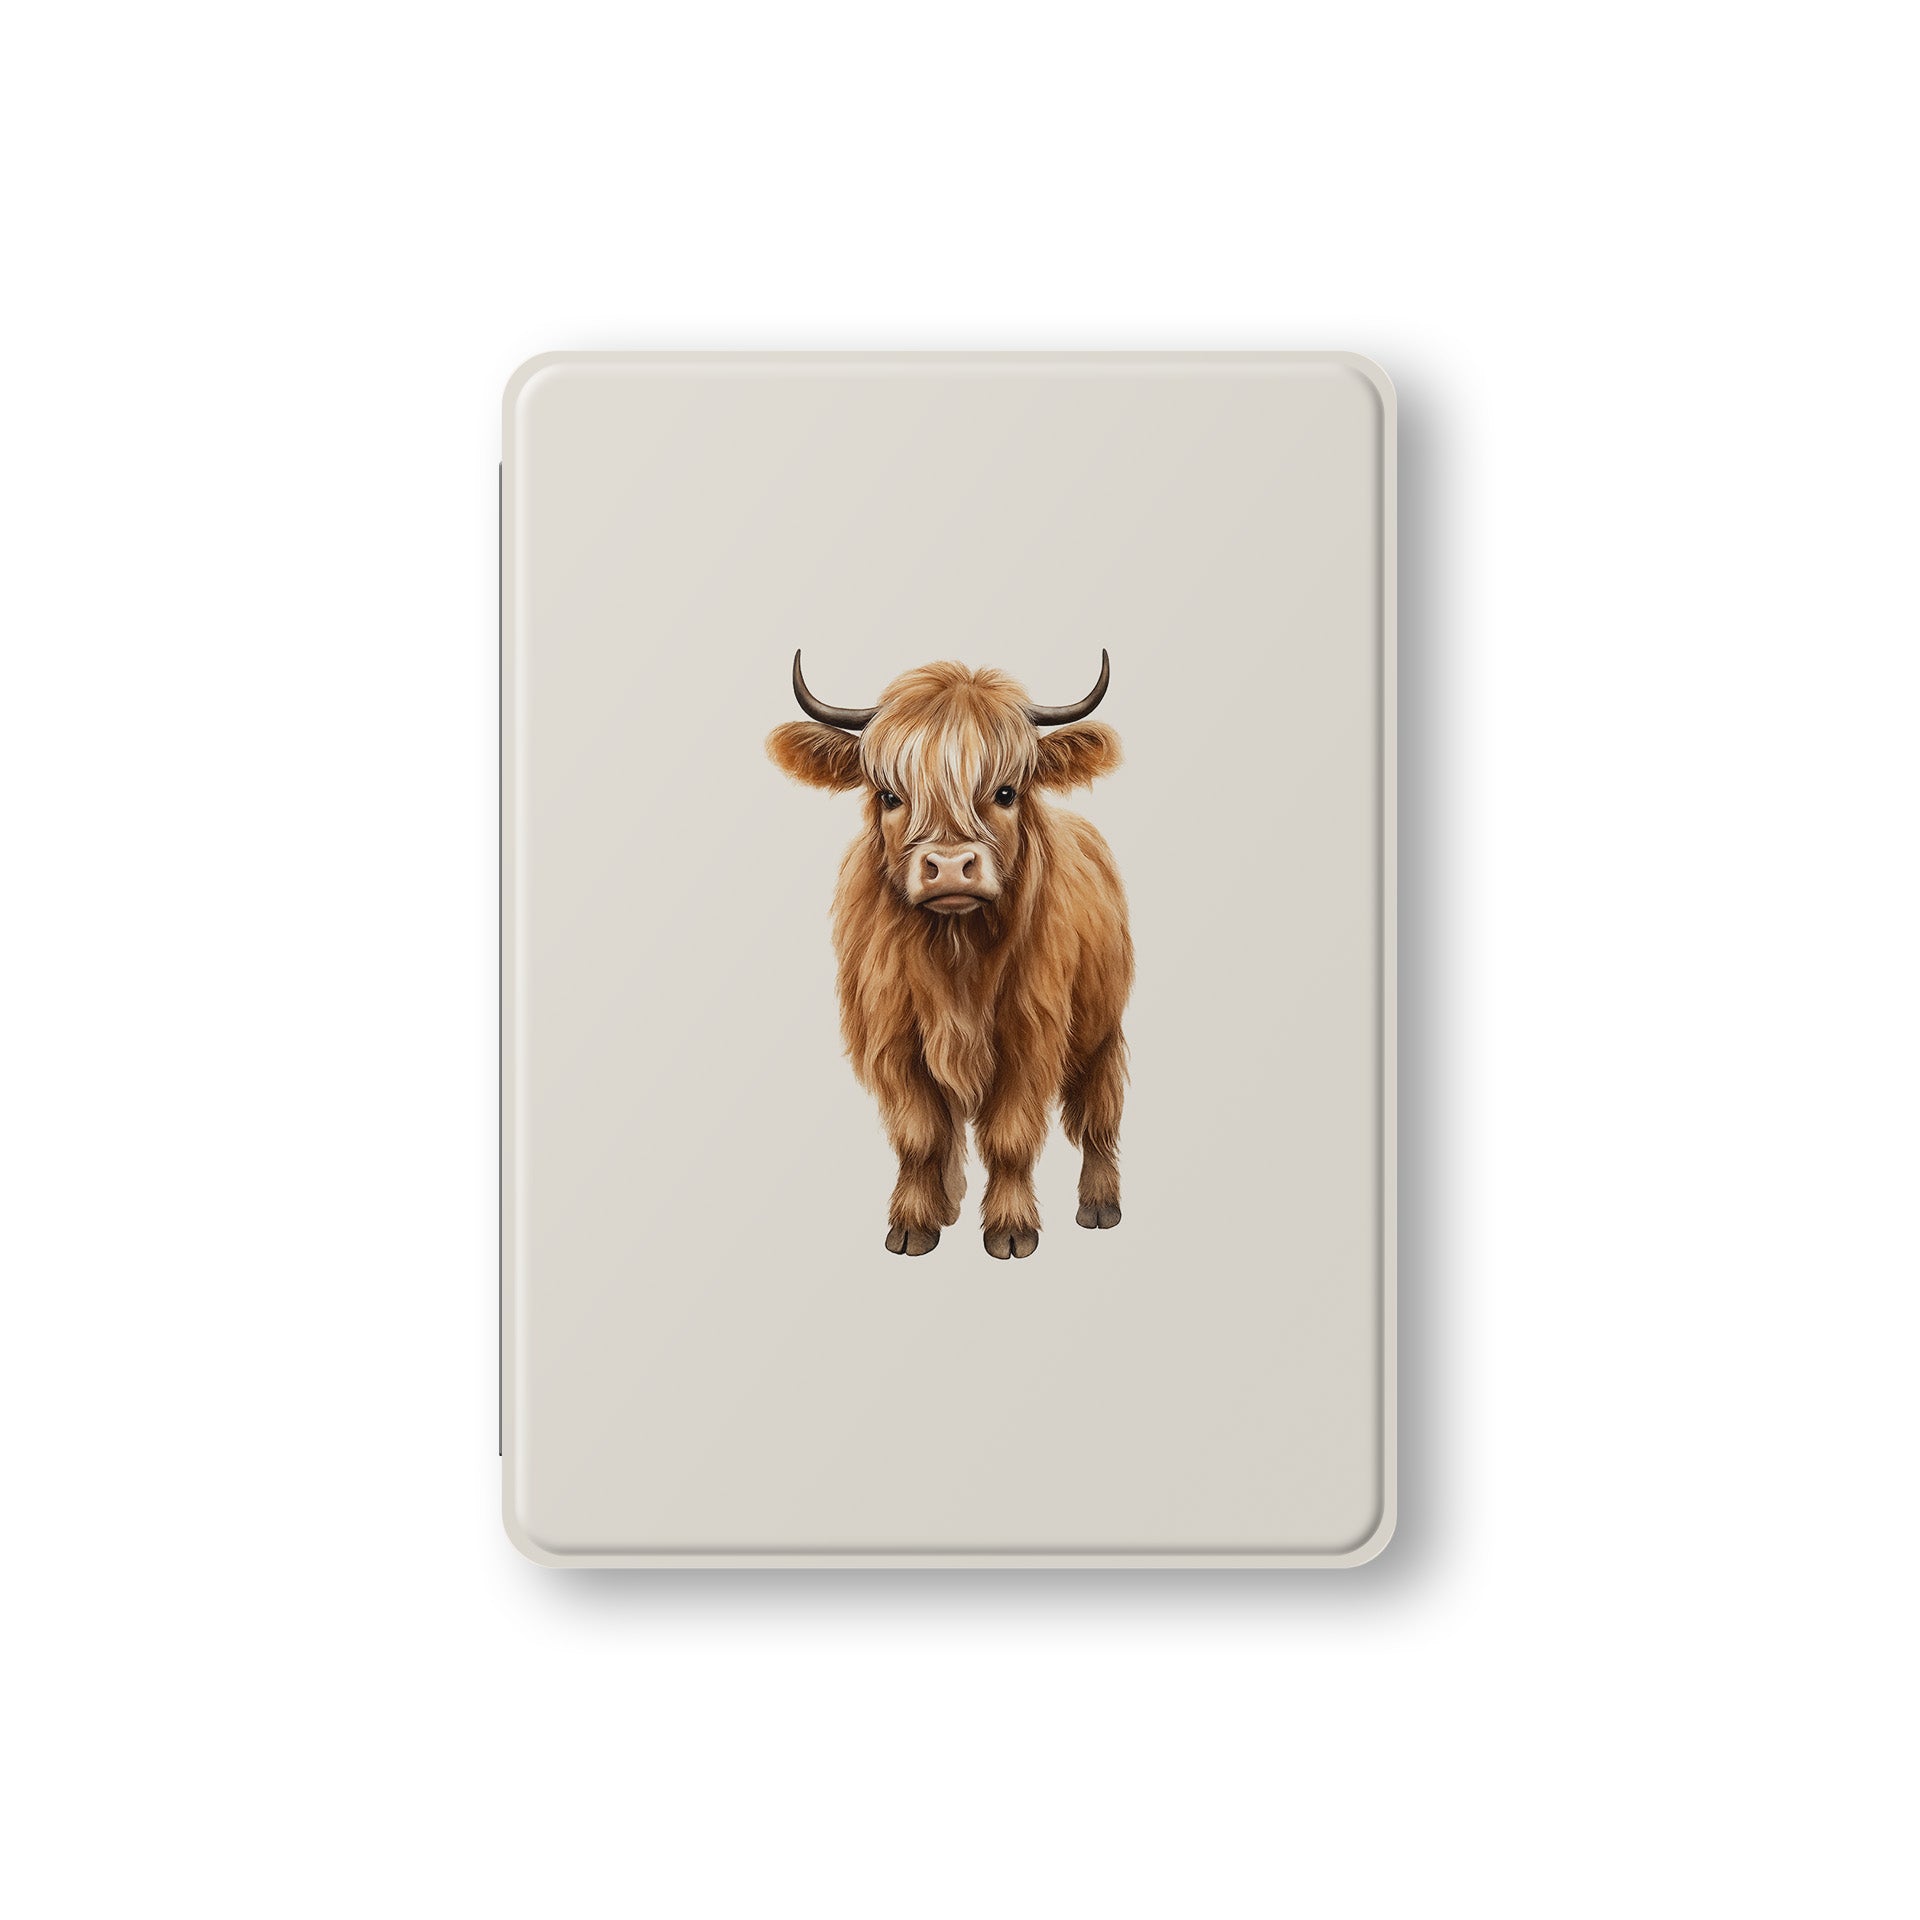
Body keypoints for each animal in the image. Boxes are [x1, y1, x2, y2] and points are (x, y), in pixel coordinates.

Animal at [767, 652, 1133, 1259]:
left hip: (1102, 1028)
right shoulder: (893, 1038)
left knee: (1098, 1113)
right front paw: (915, 1223)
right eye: (890, 795)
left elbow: (1010, 1136)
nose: (950, 866)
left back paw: (1101, 1205)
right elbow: (920, 1134)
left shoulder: (1029, 1036)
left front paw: (1011, 1229)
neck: (954, 955)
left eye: (1006, 792)